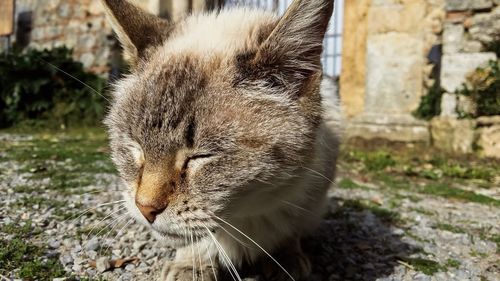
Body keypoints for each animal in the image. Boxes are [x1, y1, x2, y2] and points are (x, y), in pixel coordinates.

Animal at [104, 0, 342, 278]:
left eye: (200, 156)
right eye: (136, 148)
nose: (145, 209)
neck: (246, 217)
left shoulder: (308, 194)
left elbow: (289, 228)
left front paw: (286, 258)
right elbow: (199, 238)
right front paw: (191, 264)